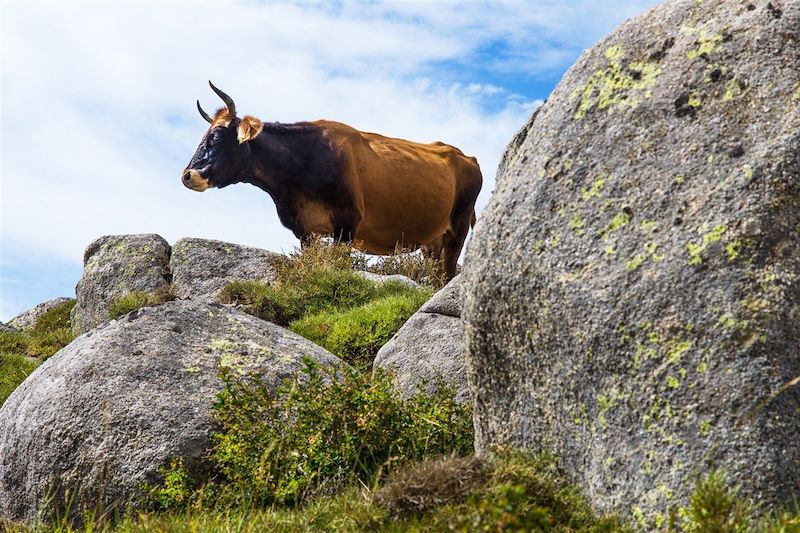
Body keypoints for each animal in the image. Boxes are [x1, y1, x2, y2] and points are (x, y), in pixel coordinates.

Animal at [182, 81, 482, 280]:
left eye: (216, 136)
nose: (187, 175)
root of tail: (465, 156)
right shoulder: (305, 230)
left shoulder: (347, 224)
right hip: (432, 240)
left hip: (459, 225)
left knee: (447, 274)